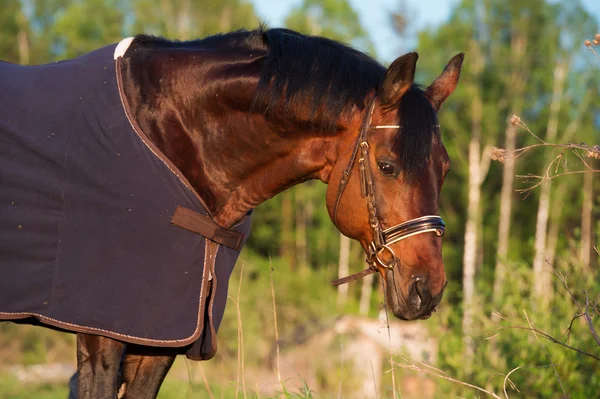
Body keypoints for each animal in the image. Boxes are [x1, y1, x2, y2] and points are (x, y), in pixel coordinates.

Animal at [0, 26, 464, 398]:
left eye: (444, 169)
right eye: (387, 166)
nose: (428, 289)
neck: (168, 137)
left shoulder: (161, 337)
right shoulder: (102, 333)